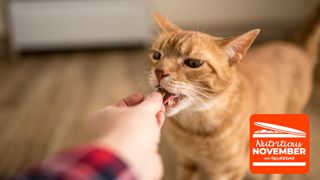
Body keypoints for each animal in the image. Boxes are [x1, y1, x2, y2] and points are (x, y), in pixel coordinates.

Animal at [148, 13, 318, 180]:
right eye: (157, 55)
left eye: (194, 63)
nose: (159, 71)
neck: (193, 127)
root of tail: (298, 48)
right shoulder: (186, 161)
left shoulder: (228, 171)